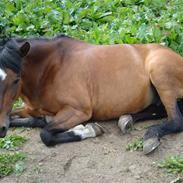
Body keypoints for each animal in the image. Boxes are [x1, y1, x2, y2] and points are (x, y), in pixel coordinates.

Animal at [0, 34, 183, 154]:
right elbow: (24, 120)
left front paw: (89, 129)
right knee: (157, 111)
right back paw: (126, 119)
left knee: (175, 120)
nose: (2, 128)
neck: (52, 68)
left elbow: (45, 134)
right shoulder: (31, 110)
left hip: (160, 74)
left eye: (16, 80)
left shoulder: (79, 111)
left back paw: (150, 138)